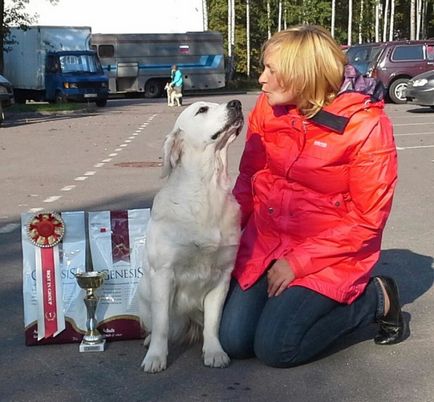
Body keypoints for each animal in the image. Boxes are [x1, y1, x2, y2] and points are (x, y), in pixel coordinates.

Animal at [138, 99, 242, 372]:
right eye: (202, 109)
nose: (236, 103)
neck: (207, 187)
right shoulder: (163, 273)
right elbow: (162, 324)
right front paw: (155, 357)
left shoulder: (222, 274)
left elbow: (214, 323)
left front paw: (214, 352)